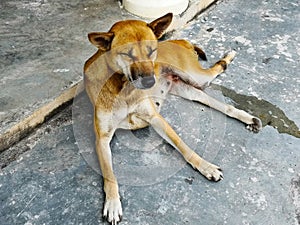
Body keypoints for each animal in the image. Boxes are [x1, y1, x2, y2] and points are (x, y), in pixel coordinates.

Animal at [83, 13, 262, 223]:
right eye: (128, 54)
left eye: (152, 51)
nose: (150, 81)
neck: (123, 87)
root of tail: (177, 41)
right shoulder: (101, 139)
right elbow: (109, 174)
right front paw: (112, 202)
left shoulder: (156, 118)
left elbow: (183, 145)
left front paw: (205, 166)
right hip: (188, 90)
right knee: (221, 104)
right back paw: (248, 118)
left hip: (196, 77)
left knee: (215, 70)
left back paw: (229, 56)